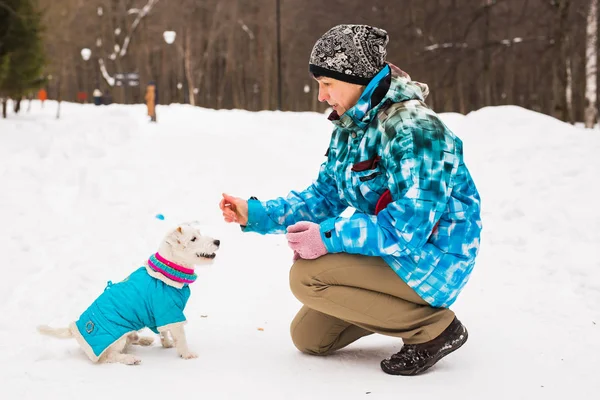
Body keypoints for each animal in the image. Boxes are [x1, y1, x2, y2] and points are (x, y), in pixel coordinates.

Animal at [35, 222, 218, 366]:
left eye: (200, 234)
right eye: (193, 239)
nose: (218, 241)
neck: (168, 269)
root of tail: (75, 330)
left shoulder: (162, 316)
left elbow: (164, 332)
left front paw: (167, 343)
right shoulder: (169, 312)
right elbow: (180, 336)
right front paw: (187, 354)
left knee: (130, 342)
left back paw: (142, 339)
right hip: (117, 337)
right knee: (109, 356)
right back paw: (130, 359)